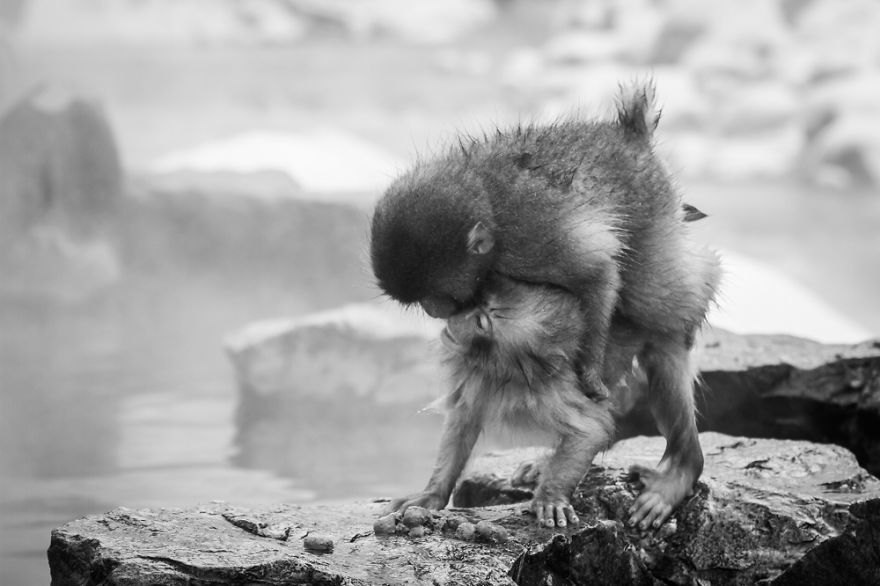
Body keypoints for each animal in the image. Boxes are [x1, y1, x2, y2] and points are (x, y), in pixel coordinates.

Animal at [370, 80, 720, 406]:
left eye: (437, 296)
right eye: (423, 301)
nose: (432, 310)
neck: (488, 206)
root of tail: (629, 134)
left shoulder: (532, 241)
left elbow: (597, 275)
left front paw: (590, 372)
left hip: (650, 204)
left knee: (653, 294)